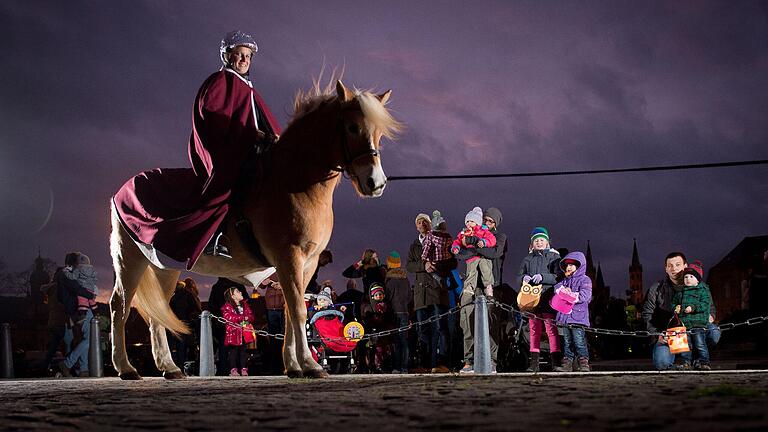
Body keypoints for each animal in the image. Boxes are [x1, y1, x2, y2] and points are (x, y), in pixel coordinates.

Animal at [109, 80, 402, 378]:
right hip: (129, 259)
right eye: (352, 127)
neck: (295, 182)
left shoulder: (307, 263)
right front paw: (309, 364)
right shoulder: (288, 257)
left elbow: (290, 311)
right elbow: (298, 310)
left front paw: (293, 365)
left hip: (164, 267)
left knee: (157, 312)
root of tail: (123, 189)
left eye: (379, 133)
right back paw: (126, 367)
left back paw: (169, 367)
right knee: (119, 307)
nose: (376, 183)